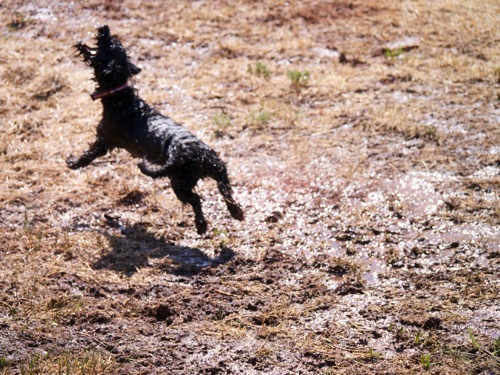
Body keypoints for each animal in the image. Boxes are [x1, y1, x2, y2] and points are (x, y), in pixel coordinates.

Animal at [67, 25, 244, 234]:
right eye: (117, 44)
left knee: (196, 199)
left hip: (179, 182)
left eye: (108, 44)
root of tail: (198, 155)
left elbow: (88, 155)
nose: (104, 28)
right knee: (225, 188)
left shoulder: (103, 140)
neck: (120, 97)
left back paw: (201, 225)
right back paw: (236, 212)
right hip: (218, 168)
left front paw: (72, 162)